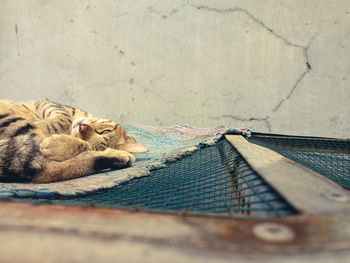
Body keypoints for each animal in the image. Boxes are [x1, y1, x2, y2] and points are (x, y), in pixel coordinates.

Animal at [0, 98, 148, 184]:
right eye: (105, 131)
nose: (83, 127)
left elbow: (83, 145)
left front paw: (59, 145)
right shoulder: (48, 104)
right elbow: (61, 118)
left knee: (45, 172)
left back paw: (119, 157)